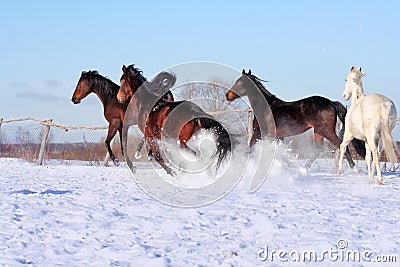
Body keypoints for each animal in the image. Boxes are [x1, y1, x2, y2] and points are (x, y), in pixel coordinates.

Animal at [225, 69, 366, 170]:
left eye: (239, 82)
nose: (228, 95)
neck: (265, 106)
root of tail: (331, 102)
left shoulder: (258, 133)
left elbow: (250, 148)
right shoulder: (278, 136)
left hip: (326, 131)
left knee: (341, 145)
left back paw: (355, 169)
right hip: (318, 132)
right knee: (318, 149)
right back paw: (305, 168)